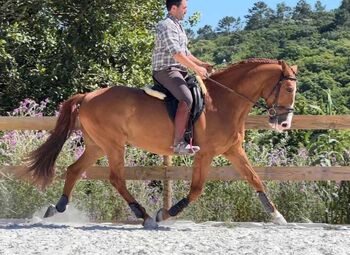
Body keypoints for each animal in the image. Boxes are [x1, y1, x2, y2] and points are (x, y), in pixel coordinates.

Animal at [27, 58, 296, 228]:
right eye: (289, 88)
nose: (284, 123)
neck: (223, 101)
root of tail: (88, 96)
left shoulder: (233, 150)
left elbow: (255, 179)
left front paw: (278, 217)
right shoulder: (205, 154)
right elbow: (196, 190)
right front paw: (164, 214)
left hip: (97, 145)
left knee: (74, 170)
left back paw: (56, 208)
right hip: (113, 145)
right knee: (116, 178)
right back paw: (144, 216)